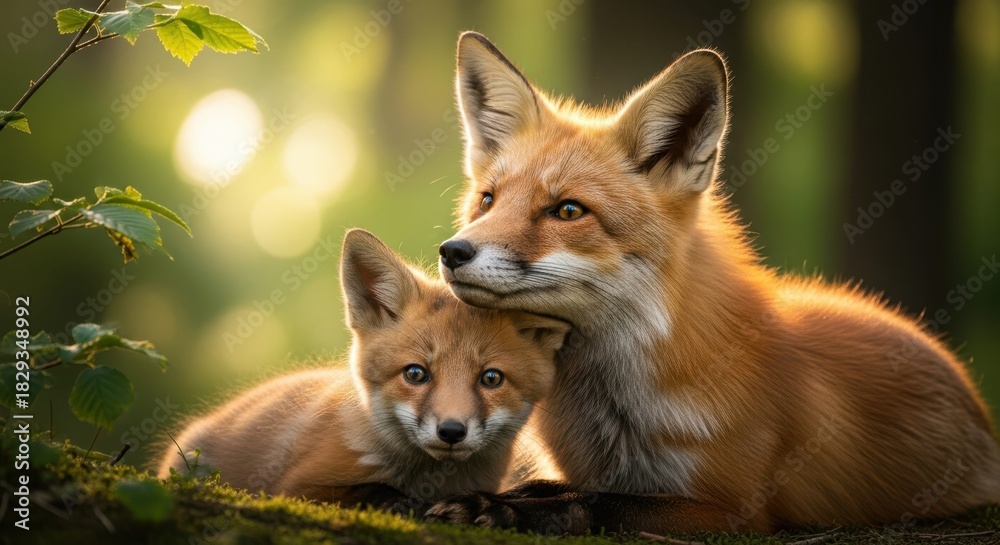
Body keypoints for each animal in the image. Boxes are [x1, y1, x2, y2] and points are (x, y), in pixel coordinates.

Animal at [157, 228, 569, 511]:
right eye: (415, 374)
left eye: (491, 378)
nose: (451, 431)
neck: (427, 478)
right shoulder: (294, 487)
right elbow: (371, 490)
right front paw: (401, 500)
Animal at [426, 32, 1000, 534]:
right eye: (488, 201)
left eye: (568, 210)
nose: (452, 252)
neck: (615, 412)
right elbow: (551, 486)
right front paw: (497, 499)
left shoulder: (735, 509)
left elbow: (599, 500)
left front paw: (500, 508)